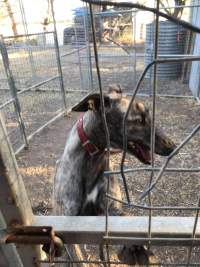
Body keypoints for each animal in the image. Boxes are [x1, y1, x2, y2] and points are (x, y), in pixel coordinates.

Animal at [54, 85, 176, 264]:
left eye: (149, 116)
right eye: (138, 121)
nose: (172, 147)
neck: (93, 158)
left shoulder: (110, 208)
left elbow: (125, 220)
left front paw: (136, 247)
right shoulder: (70, 225)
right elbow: (79, 259)